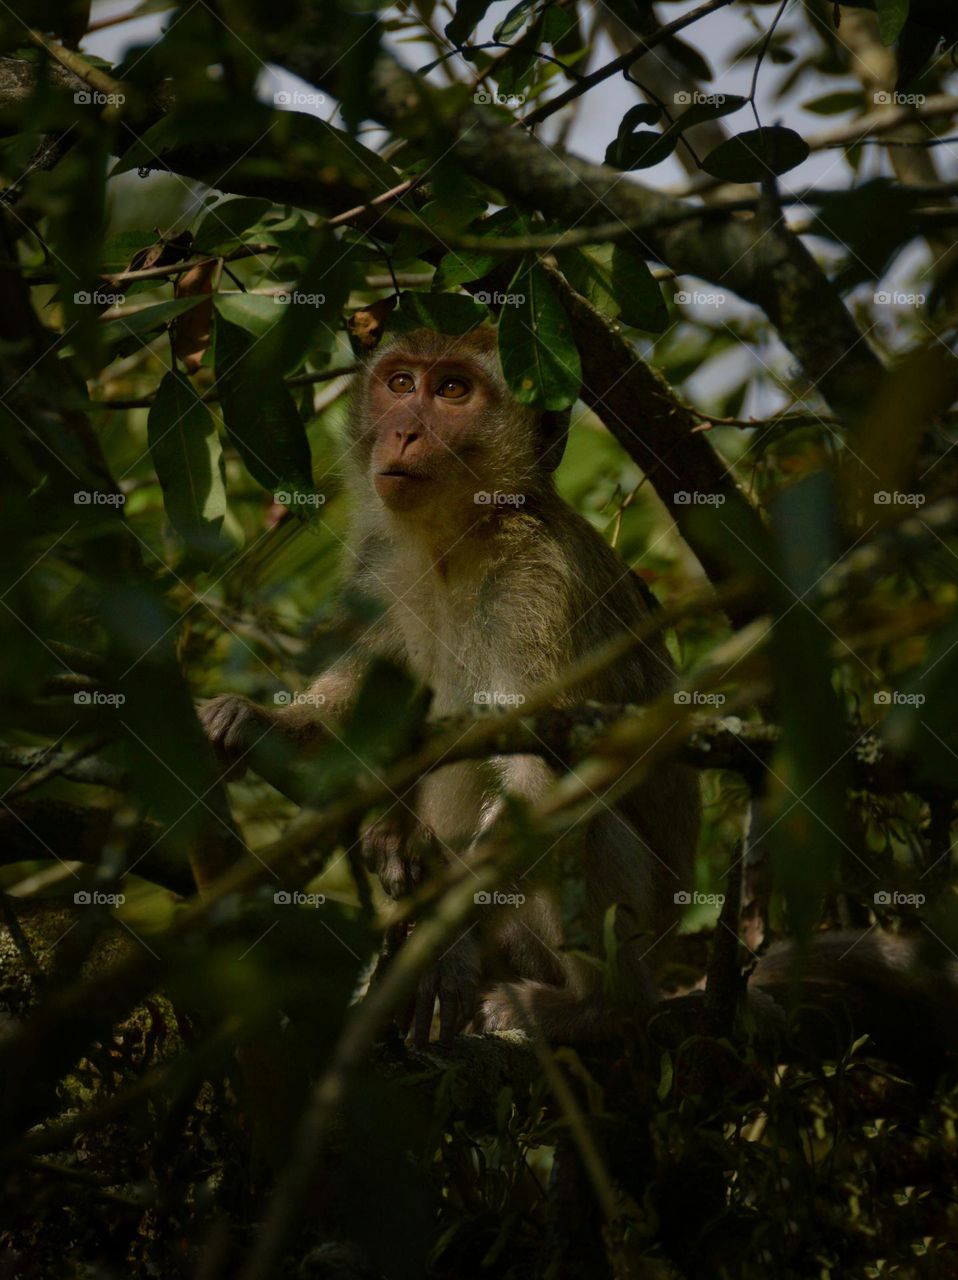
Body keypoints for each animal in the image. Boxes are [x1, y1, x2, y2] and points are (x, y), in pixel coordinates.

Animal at [203, 323, 700, 1046]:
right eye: (401, 383)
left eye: (454, 391)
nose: (405, 430)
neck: (454, 542)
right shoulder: (378, 567)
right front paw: (250, 723)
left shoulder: (536, 586)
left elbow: (543, 774)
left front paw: (443, 946)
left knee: (585, 825)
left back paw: (598, 1007)